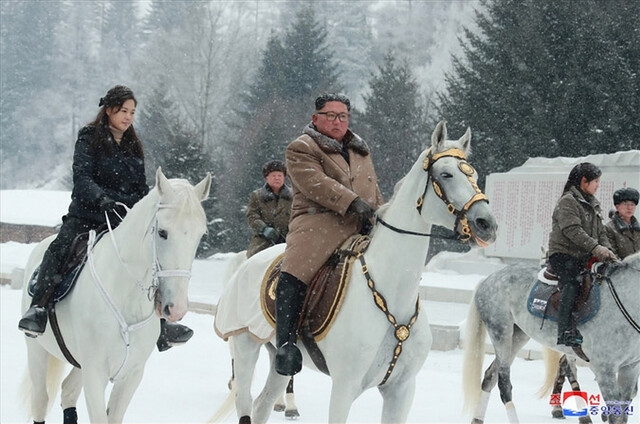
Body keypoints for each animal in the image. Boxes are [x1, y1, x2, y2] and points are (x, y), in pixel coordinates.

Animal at [19, 167, 210, 422]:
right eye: (162, 232)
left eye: (200, 235)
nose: (176, 308)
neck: (126, 298)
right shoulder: (94, 374)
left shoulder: (131, 375)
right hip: (37, 351)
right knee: (41, 400)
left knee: (68, 392)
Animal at [212, 121, 498, 422]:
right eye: (446, 174)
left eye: (474, 174)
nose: (486, 224)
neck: (392, 294)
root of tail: (246, 264)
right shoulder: (344, 387)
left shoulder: (401, 390)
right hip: (245, 344)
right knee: (245, 401)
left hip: (277, 358)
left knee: (263, 403)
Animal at [462, 255, 640, 424]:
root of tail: (489, 278)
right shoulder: (604, 370)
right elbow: (616, 415)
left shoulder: (630, 368)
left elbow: (623, 413)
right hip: (500, 332)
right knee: (504, 384)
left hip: (517, 335)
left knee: (490, 376)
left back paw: (477, 419)